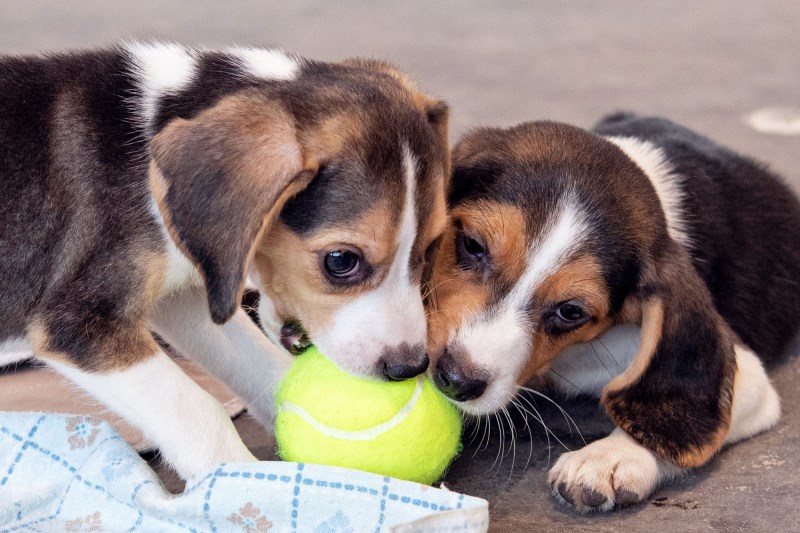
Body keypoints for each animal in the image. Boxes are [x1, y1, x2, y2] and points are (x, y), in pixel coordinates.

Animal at [0, 43, 450, 480]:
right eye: (341, 261)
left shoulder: (187, 296)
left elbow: (262, 368)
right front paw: (235, 482)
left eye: (431, 248)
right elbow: (197, 412)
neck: (143, 145)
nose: (409, 366)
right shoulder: (79, 323)